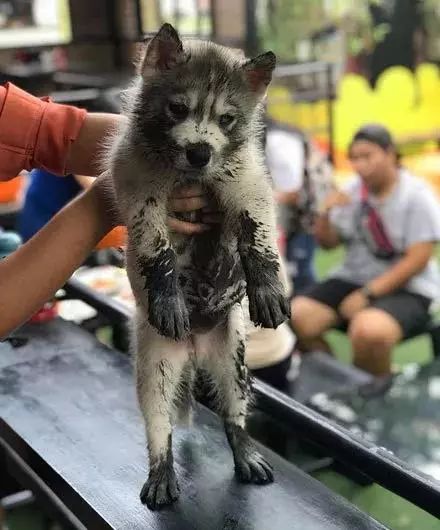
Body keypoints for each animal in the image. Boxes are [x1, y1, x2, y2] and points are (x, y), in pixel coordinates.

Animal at [108, 23, 290, 508]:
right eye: (177, 108)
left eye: (227, 119)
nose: (200, 153)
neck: (189, 175)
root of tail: (192, 349)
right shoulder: (140, 192)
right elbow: (156, 250)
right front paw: (167, 291)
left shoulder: (247, 182)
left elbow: (256, 232)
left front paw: (267, 284)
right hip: (155, 363)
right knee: (160, 421)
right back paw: (161, 467)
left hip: (234, 358)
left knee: (233, 413)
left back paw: (243, 447)